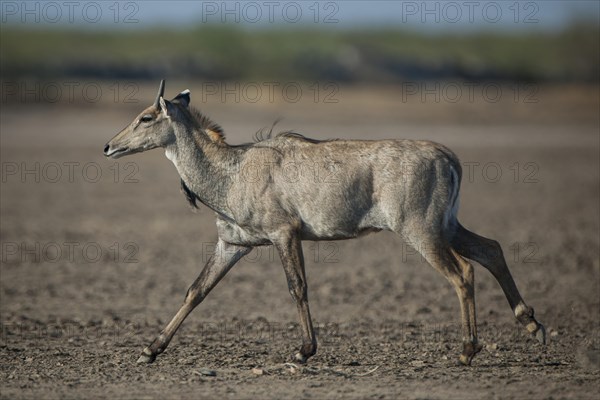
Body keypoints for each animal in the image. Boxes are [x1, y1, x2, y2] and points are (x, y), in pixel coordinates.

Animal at [103, 80, 544, 366]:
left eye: (146, 117)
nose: (109, 146)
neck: (231, 171)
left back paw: (468, 350)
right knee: (491, 249)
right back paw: (531, 324)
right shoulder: (233, 244)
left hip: (420, 230)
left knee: (463, 271)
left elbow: (297, 287)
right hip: (447, 225)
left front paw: (304, 350)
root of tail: (450, 159)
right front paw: (149, 349)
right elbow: (196, 290)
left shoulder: (284, 234)